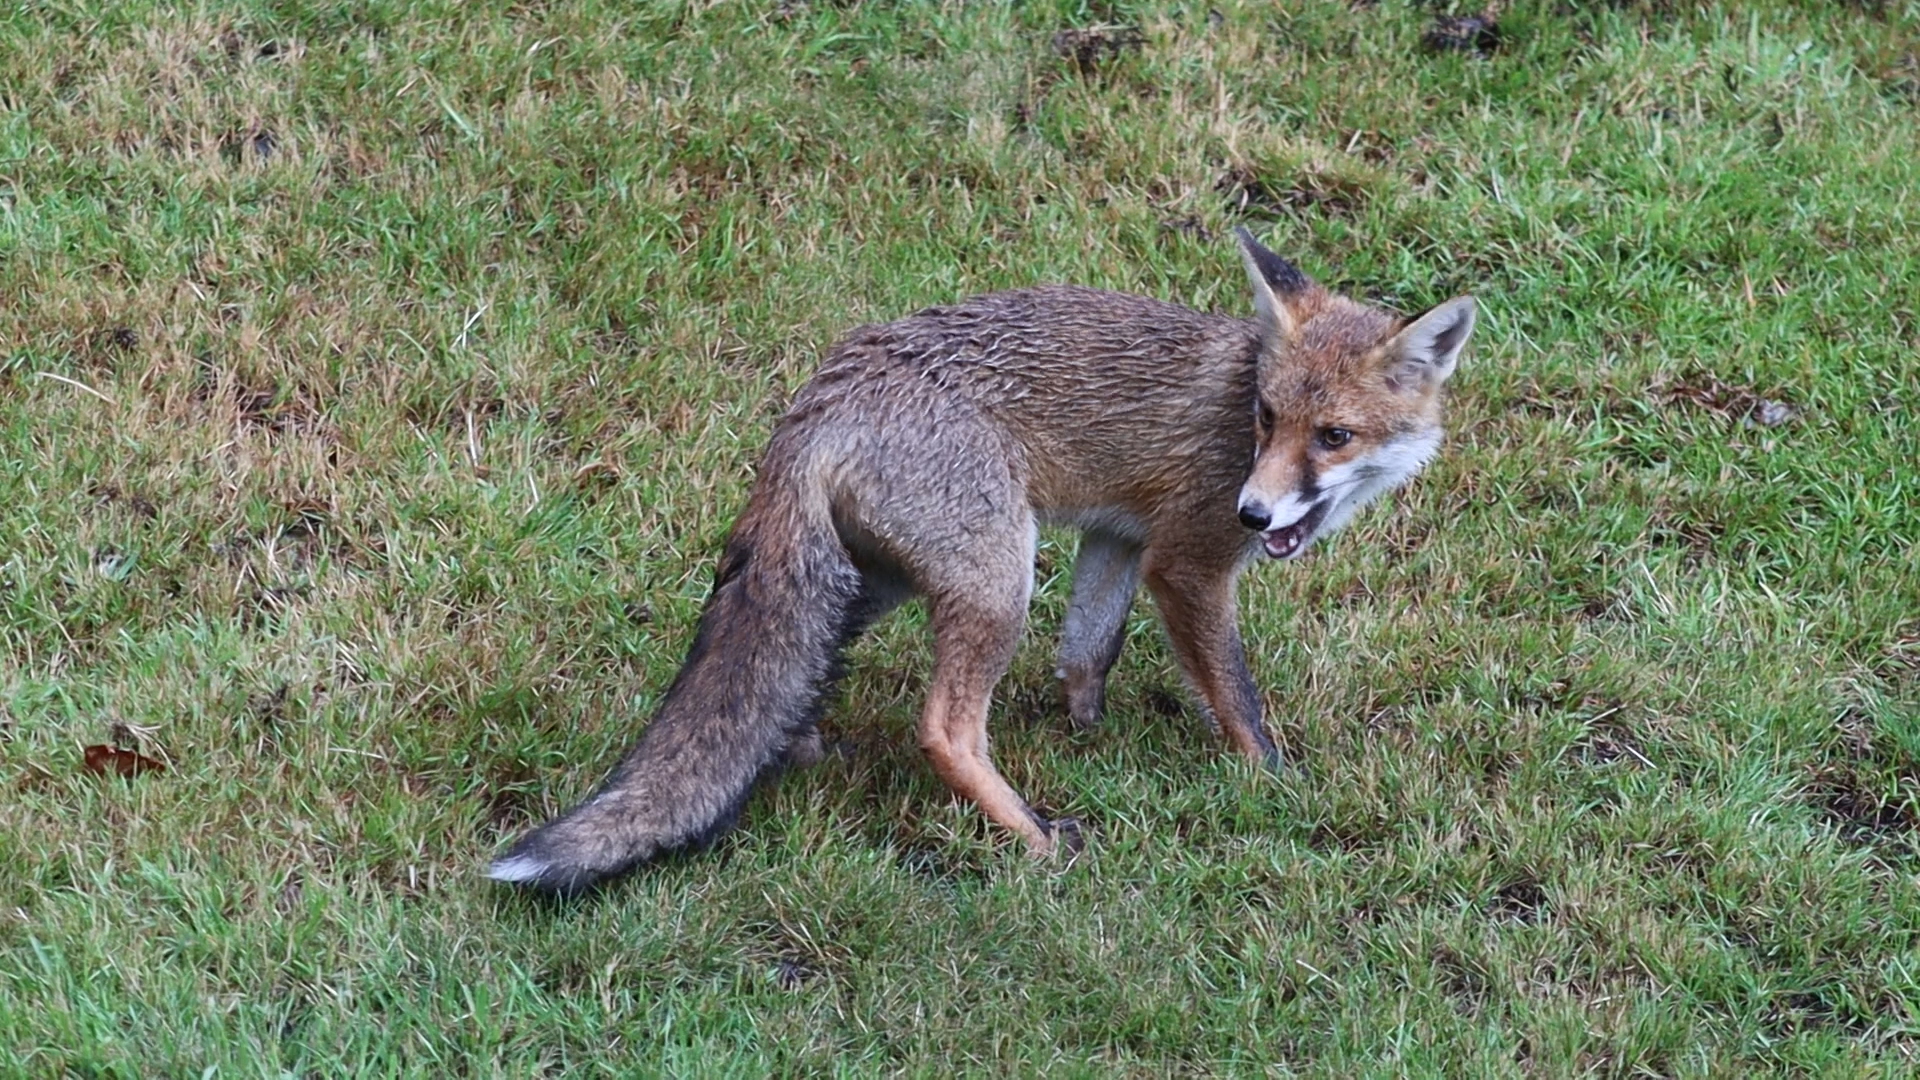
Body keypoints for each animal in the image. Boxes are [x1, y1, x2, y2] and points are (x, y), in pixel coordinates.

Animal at [489, 228, 1476, 895]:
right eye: (1268, 420)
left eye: (1334, 435)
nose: (1256, 509)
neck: (1239, 396)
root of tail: (822, 394)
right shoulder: (1187, 559)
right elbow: (1237, 698)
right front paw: (1275, 788)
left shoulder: (1118, 538)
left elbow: (1087, 653)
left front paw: (1088, 735)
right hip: (1000, 578)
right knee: (946, 729)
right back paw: (1034, 841)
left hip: (874, 580)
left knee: (785, 674)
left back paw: (798, 748)